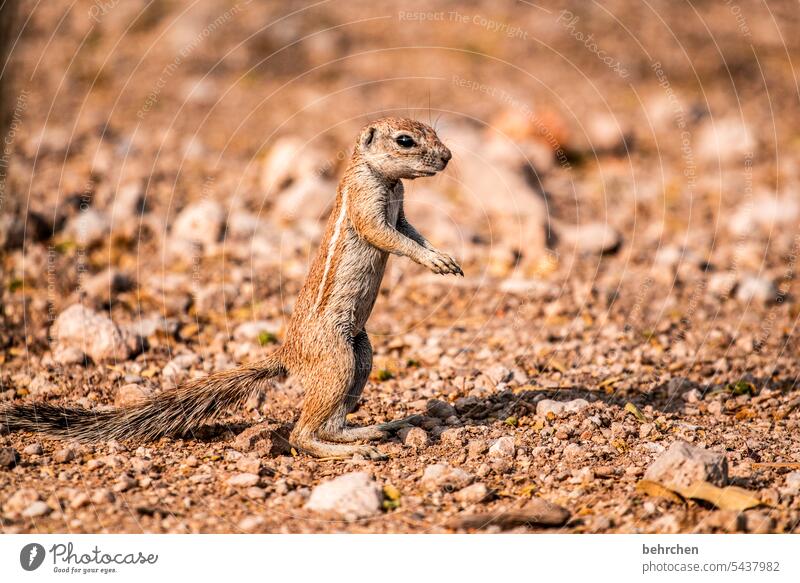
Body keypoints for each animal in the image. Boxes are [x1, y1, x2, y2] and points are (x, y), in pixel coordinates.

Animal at [0, 116, 460, 458]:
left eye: (433, 131)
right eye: (405, 140)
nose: (448, 155)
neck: (385, 180)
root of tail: (288, 354)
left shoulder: (402, 212)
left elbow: (410, 232)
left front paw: (443, 256)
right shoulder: (368, 207)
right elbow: (390, 238)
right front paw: (432, 260)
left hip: (359, 353)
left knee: (330, 418)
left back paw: (362, 433)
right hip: (336, 358)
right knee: (301, 434)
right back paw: (349, 450)